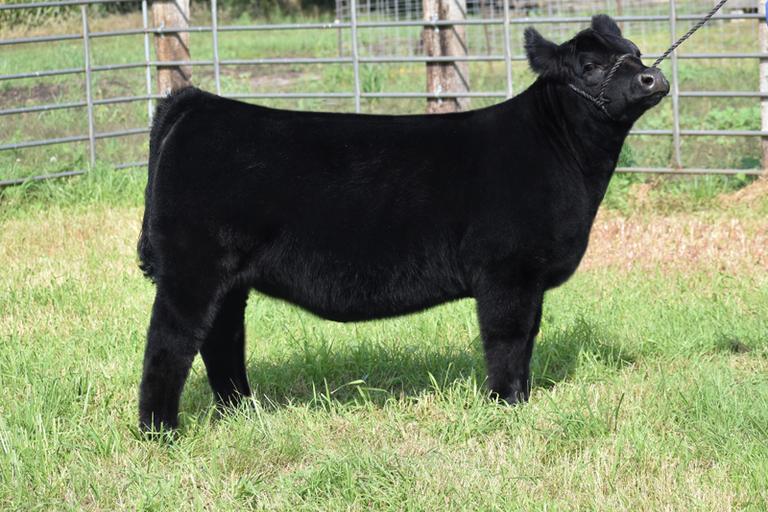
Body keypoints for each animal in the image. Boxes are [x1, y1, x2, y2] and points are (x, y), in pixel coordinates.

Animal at [137, 15, 668, 431]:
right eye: (590, 67)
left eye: (635, 52)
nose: (652, 79)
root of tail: (196, 103)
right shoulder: (507, 272)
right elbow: (508, 338)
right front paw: (507, 403)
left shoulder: (530, 278)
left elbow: (528, 337)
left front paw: (523, 397)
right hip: (192, 268)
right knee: (170, 341)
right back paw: (160, 430)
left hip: (229, 280)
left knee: (221, 339)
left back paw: (241, 411)